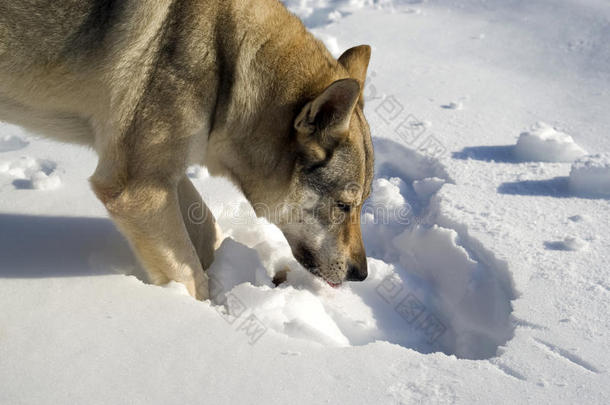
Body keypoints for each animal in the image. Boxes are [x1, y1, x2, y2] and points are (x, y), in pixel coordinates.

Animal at [0, 0, 372, 296]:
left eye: (362, 204)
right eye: (343, 206)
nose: (361, 274)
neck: (227, 68)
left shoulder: (164, 170)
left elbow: (208, 228)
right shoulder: (136, 190)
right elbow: (191, 277)